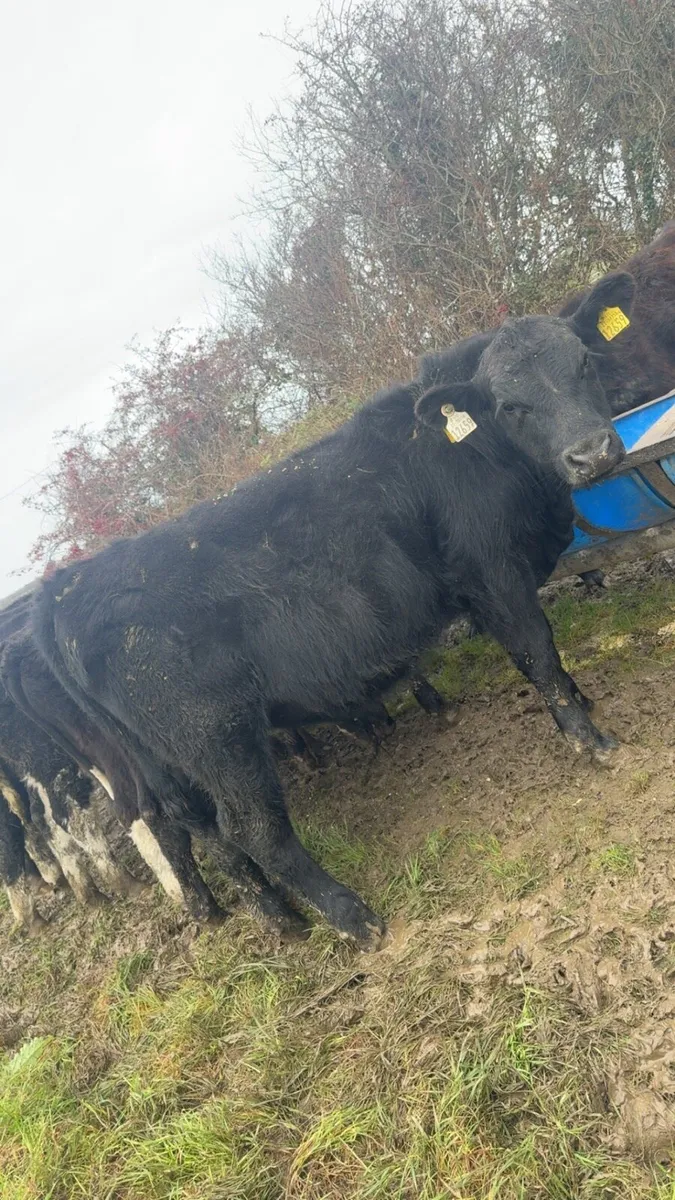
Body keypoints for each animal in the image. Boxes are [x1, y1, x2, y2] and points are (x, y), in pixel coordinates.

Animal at [31, 273, 632, 948]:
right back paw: (354, 918)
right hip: (218, 737)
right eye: (510, 406)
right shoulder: (495, 574)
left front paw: (585, 703)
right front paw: (590, 739)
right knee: (252, 831)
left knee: (214, 840)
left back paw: (284, 920)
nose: (591, 452)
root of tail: (69, 587)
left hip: (171, 763)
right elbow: (540, 655)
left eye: (583, 362)